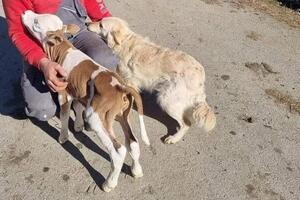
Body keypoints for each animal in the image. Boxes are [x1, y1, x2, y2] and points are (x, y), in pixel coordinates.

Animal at [21, 10, 150, 192]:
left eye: (36, 22)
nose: (25, 12)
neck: (62, 50)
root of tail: (121, 87)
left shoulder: (63, 92)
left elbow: (64, 115)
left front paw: (64, 136)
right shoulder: (77, 90)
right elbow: (78, 106)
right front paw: (78, 126)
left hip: (97, 117)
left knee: (118, 151)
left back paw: (109, 183)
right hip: (122, 115)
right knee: (133, 142)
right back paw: (136, 171)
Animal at [88, 17, 217, 144]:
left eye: (101, 25)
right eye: (99, 20)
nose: (87, 23)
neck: (125, 42)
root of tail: (200, 77)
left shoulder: (130, 82)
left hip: (166, 100)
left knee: (186, 123)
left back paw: (173, 139)